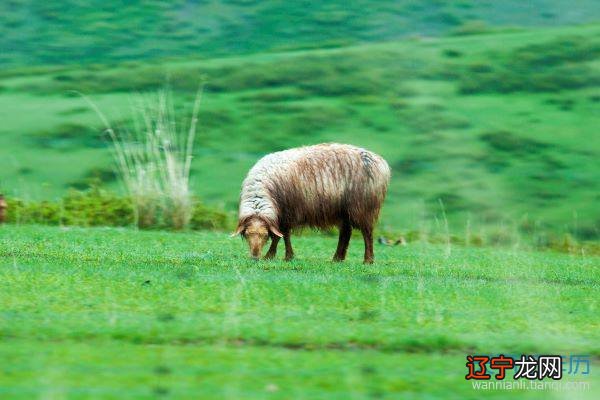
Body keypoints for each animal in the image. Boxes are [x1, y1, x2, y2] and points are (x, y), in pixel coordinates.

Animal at [232, 143, 392, 262]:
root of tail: (381, 162)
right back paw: (337, 259)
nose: (254, 257)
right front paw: (282, 256)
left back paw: (368, 260)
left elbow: (281, 236)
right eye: (247, 234)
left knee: (367, 233)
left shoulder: (287, 212)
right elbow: (282, 236)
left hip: (364, 207)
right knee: (346, 233)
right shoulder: (281, 215)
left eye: (265, 236)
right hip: (344, 210)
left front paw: (275, 256)